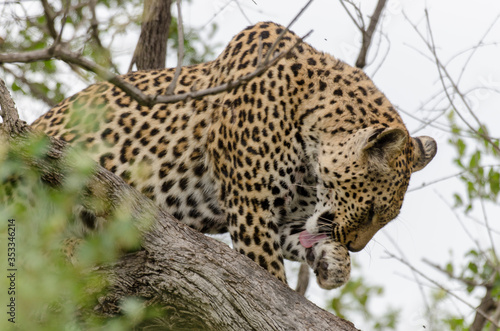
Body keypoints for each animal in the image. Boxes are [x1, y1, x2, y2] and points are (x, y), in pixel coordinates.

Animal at [32, 21, 438, 290]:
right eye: (370, 211)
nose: (356, 245)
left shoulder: (283, 217)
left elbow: (305, 237)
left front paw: (335, 263)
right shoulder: (250, 207)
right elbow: (269, 278)